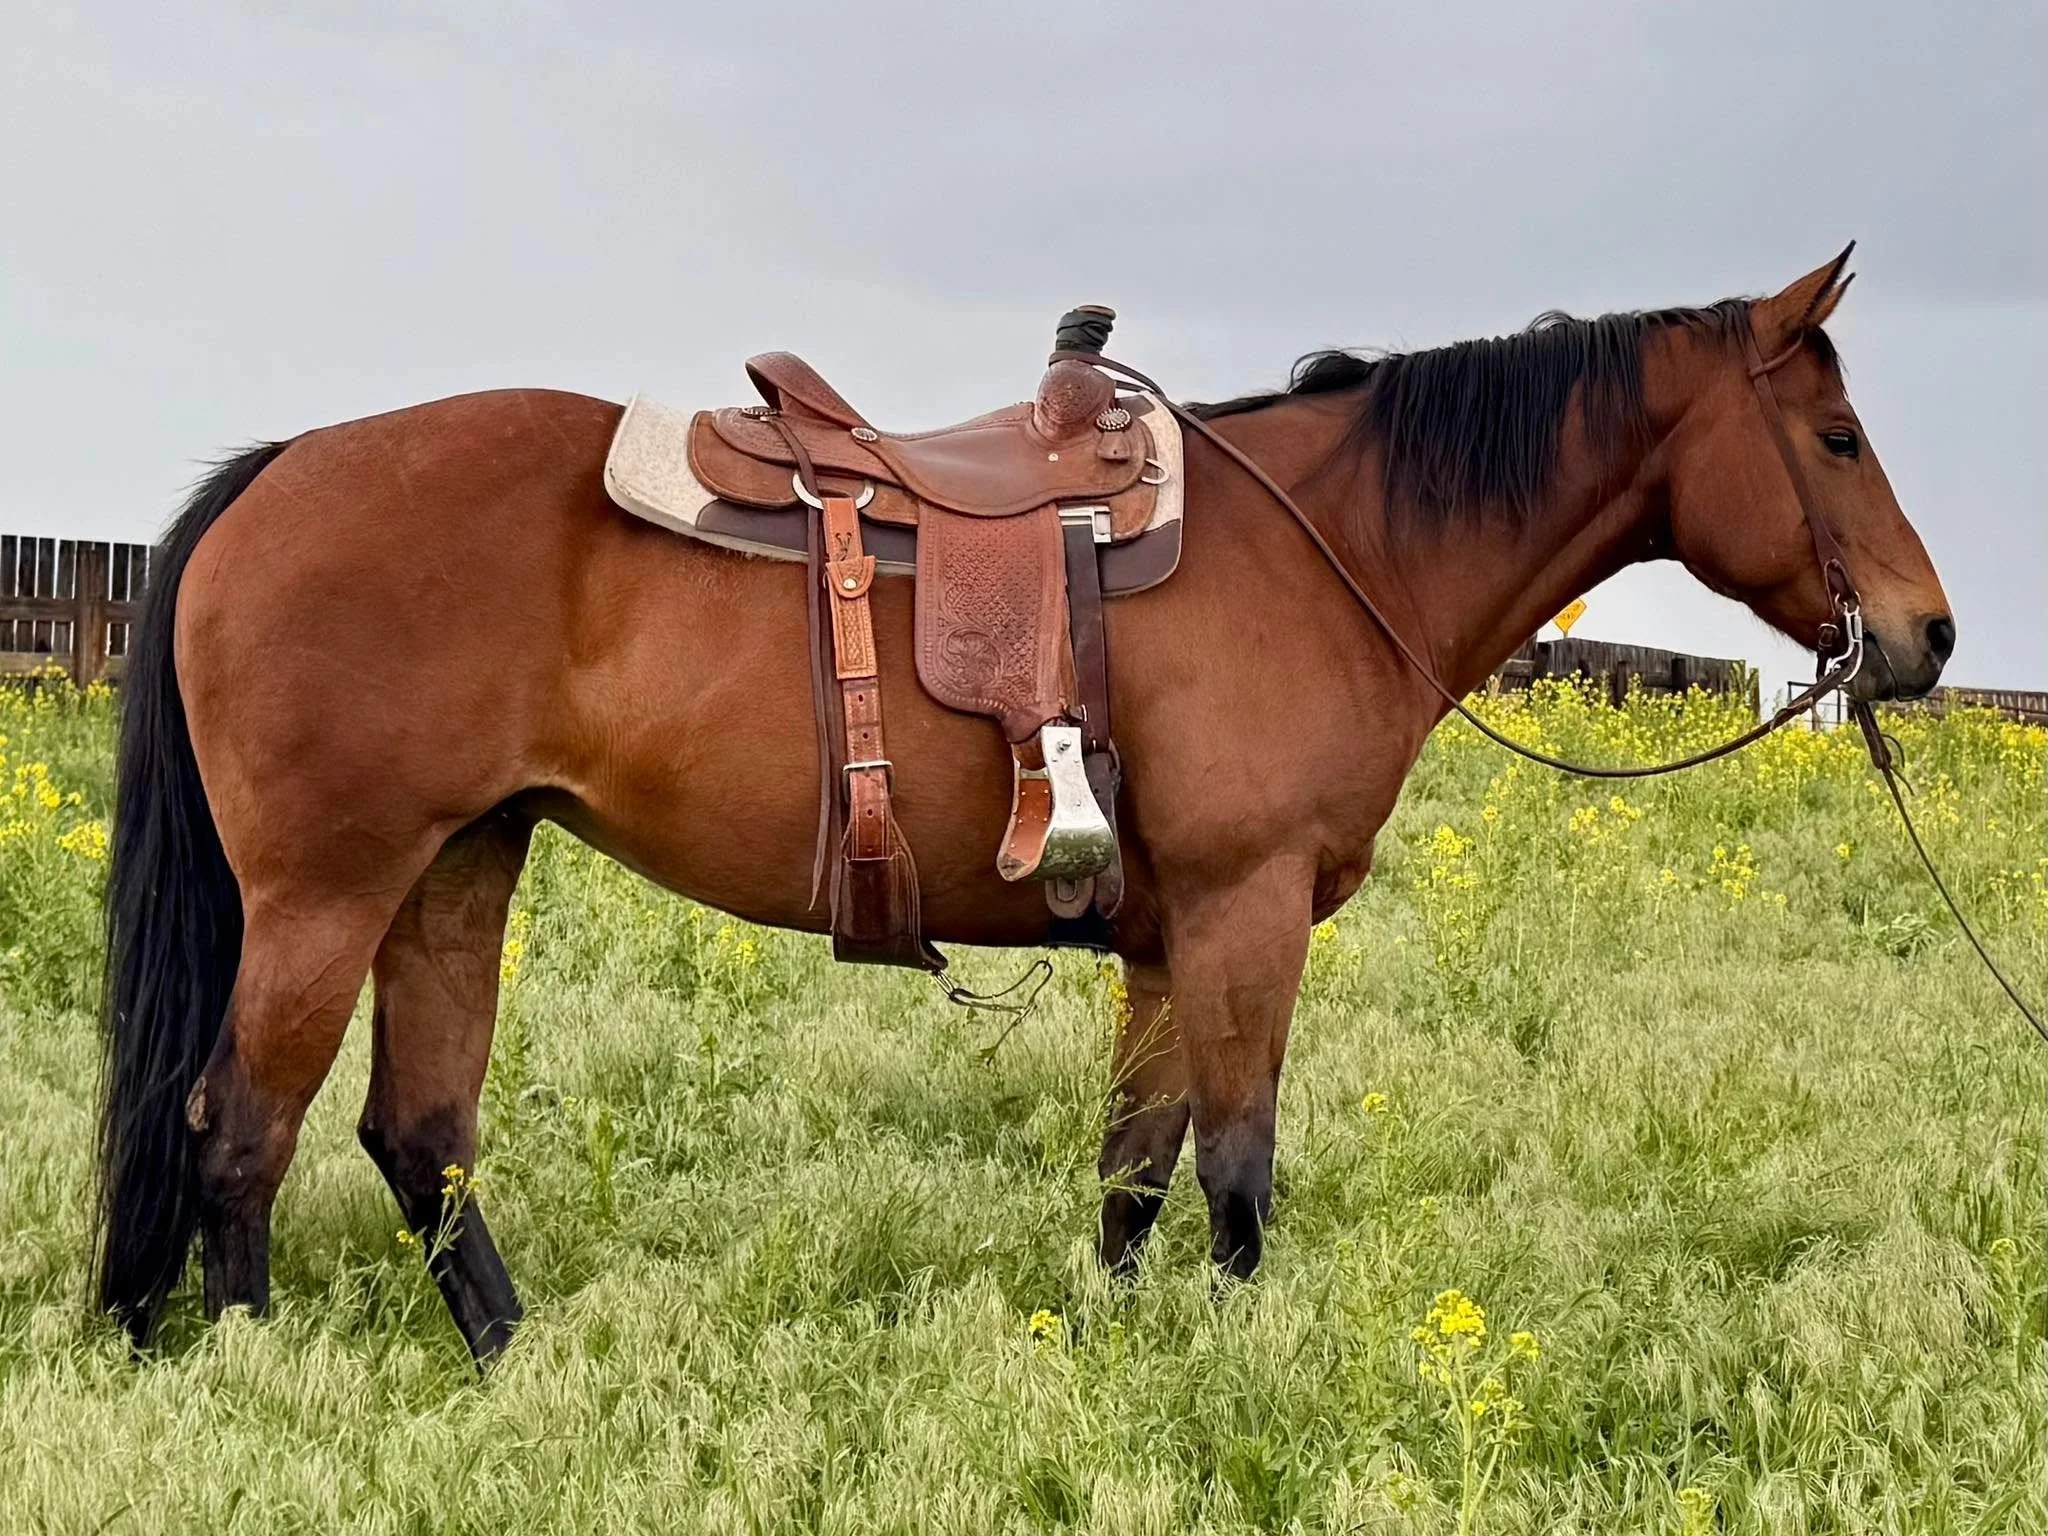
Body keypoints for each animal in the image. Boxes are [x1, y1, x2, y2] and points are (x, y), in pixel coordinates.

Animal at [94, 251, 1952, 1363]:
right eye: (1838, 439)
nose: (1925, 635)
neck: (1330, 553)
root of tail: (279, 470)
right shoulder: (1245, 914)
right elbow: (1238, 1172)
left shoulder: (1162, 941)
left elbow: (1134, 1170)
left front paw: (1115, 1354)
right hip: (326, 892)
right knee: (237, 1128)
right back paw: (254, 1356)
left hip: (456, 870)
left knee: (419, 1134)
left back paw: (513, 1356)